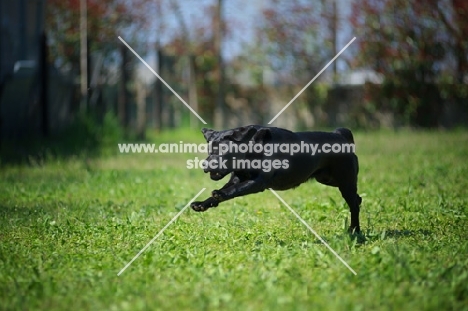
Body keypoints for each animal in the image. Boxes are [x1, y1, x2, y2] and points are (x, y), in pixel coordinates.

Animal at [190, 125, 362, 233]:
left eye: (223, 150)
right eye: (209, 150)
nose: (205, 164)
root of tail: (340, 136)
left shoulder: (257, 182)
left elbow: (233, 190)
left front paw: (219, 194)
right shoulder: (238, 178)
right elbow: (227, 188)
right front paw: (202, 204)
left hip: (345, 181)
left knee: (354, 204)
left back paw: (354, 231)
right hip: (327, 179)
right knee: (357, 198)